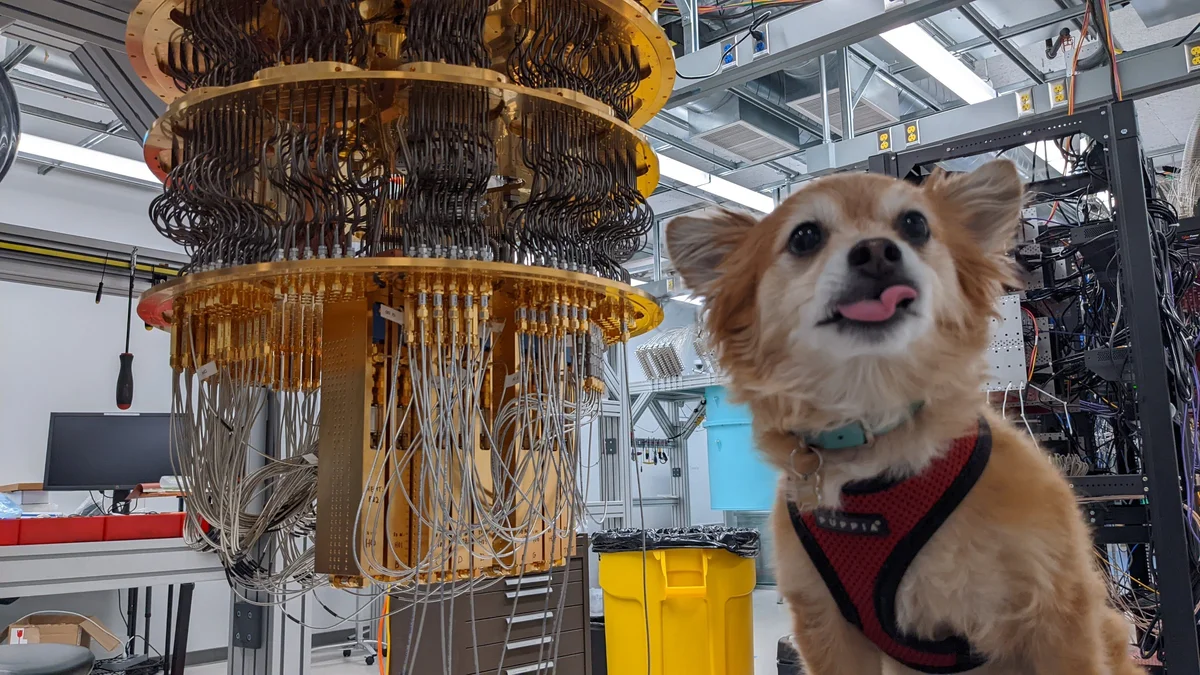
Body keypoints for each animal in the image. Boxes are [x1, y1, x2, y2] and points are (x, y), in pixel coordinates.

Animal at [667, 159, 1142, 672]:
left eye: (915, 225)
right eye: (805, 236)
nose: (877, 251)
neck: (875, 431)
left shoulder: (1056, 612)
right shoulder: (827, 627)